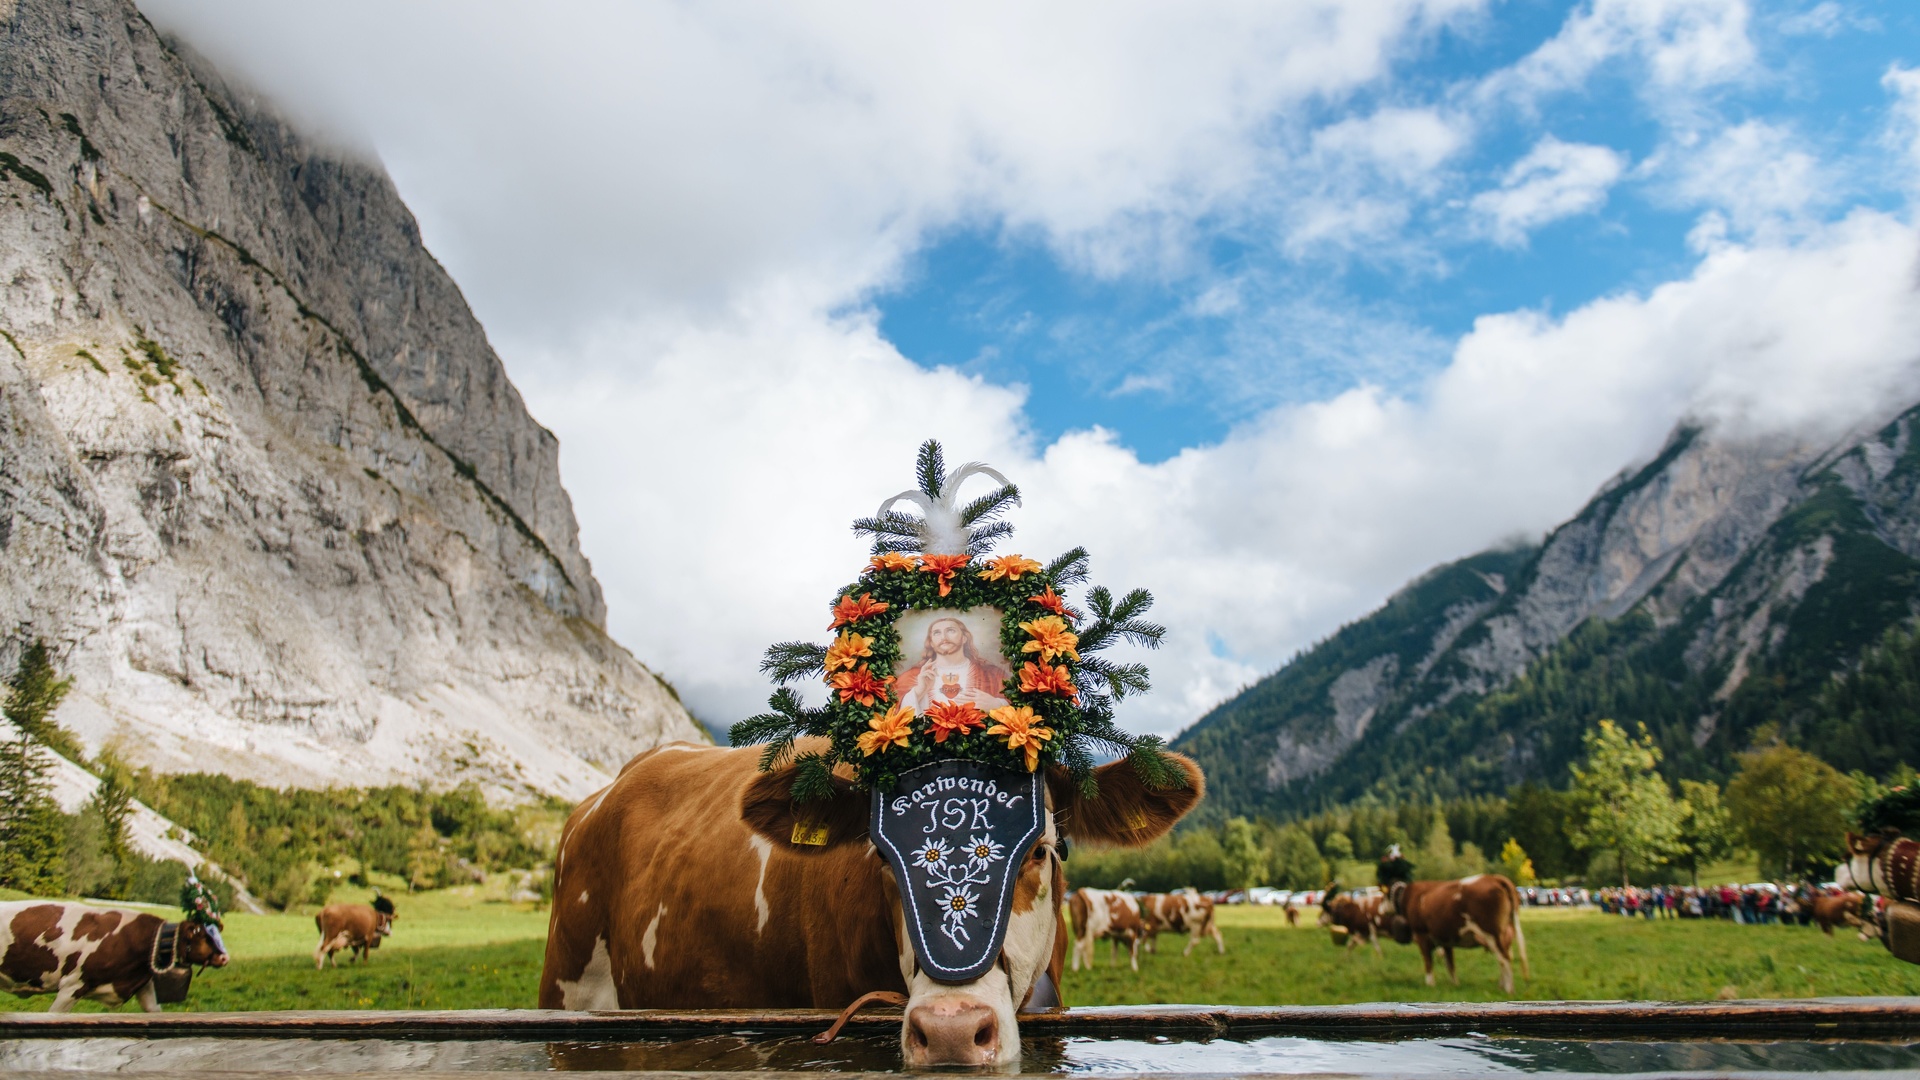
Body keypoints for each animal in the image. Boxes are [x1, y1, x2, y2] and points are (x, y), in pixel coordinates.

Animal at [1382, 868, 1528, 991]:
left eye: (1384, 896)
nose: (1382, 911)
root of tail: (1493, 877)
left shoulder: (1421, 934)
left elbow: (1428, 961)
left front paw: (1430, 984)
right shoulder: (1446, 940)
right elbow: (1450, 964)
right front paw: (1455, 985)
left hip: (1491, 933)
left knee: (1504, 959)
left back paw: (1508, 989)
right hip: (1505, 933)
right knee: (1505, 957)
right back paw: (1501, 986)